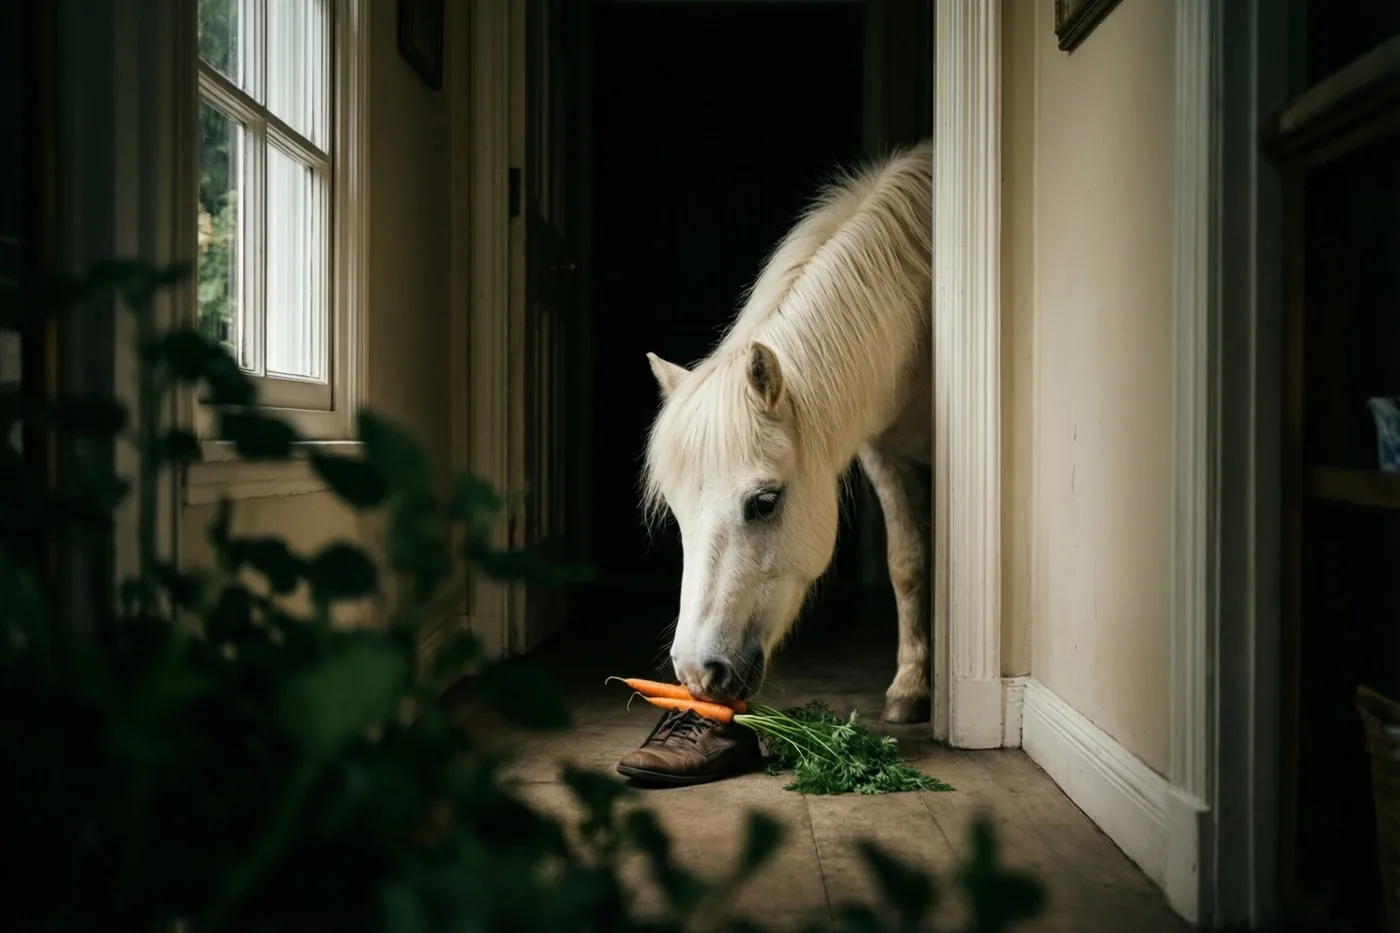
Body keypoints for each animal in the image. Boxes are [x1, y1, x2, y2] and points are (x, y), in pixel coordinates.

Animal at [642, 140, 935, 724]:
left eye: (765, 502)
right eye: (679, 513)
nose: (695, 674)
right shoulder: (885, 457)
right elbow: (907, 565)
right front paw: (910, 688)